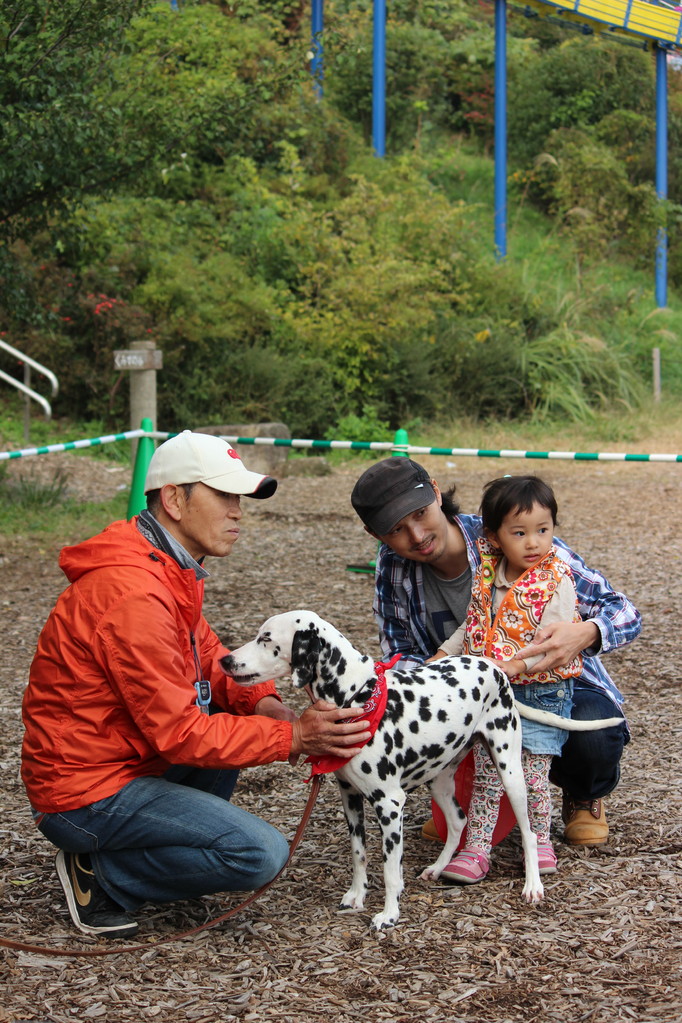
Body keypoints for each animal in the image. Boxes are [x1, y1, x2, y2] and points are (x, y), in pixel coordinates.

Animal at [221, 609, 621, 932]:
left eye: (266, 638)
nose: (226, 660)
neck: (357, 696)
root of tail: (495, 667)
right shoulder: (350, 798)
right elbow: (359, 854)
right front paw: (356, 896)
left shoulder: (389, 805)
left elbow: (390, 869)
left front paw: (389, 914)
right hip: (440, 781)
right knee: (459, 821)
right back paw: (439, 868)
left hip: (511, 773)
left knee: (528, 832)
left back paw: (533, 885)